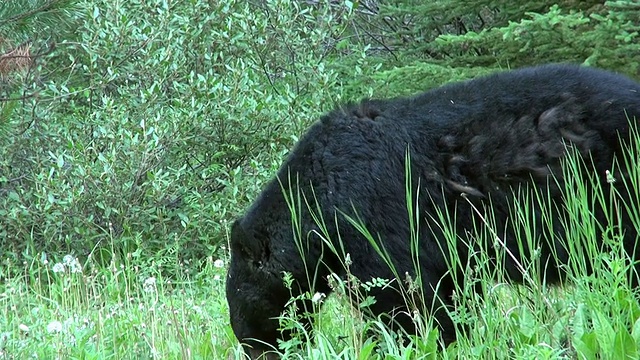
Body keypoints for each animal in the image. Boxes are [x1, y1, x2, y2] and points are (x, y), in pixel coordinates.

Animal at [225, 64, 640, 358]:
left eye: (238, 305)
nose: (255, 352)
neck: (316, 196)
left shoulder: (375, 219)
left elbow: (409, 299)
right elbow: (453, 292)